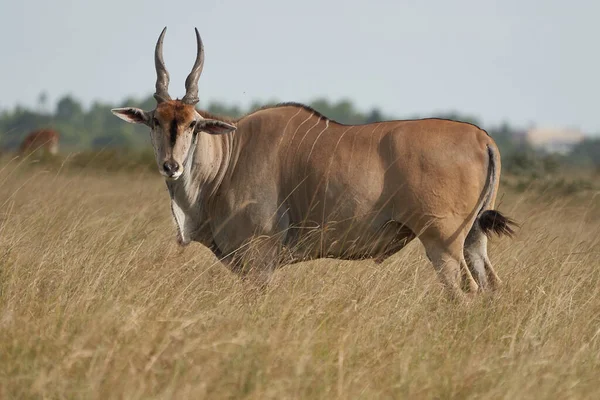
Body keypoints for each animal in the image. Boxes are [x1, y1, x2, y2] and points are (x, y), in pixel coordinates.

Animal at [111, 27, 516, 300]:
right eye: (156, 121)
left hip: (442, 244)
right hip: (473, 239)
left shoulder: (258, 262)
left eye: (193, 124)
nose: (171, 167)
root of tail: (482, 138)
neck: (230, 155)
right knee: (491, 286)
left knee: (465, 293)